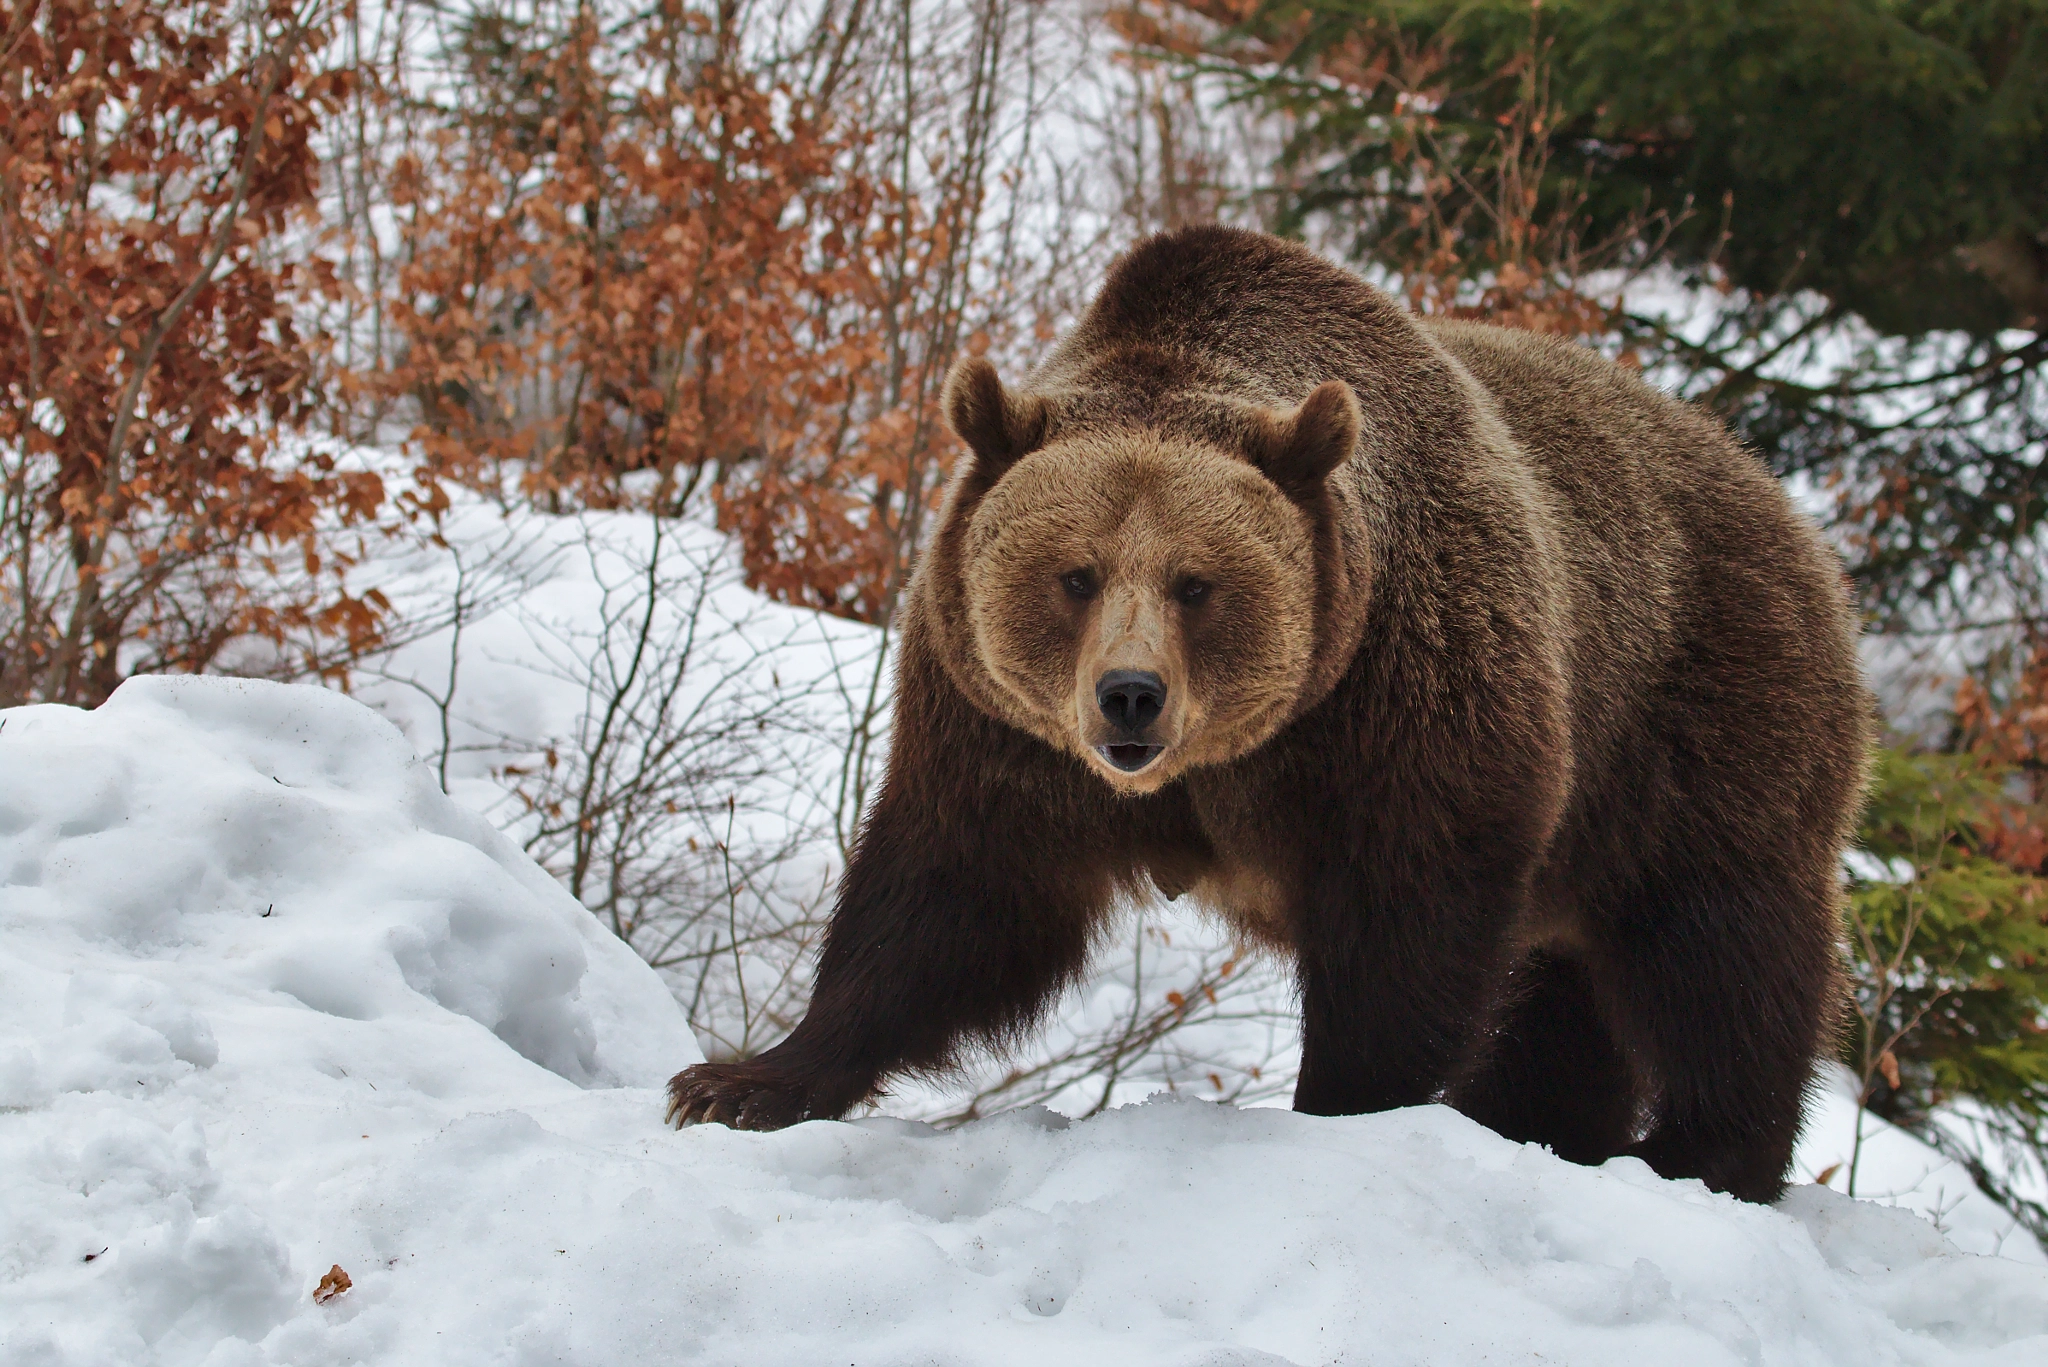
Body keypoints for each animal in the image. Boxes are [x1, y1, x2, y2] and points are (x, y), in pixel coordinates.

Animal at [671, 222, 1875, 1196]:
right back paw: (1543, 1130)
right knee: (1571, 996)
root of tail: (1777, 499)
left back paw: (1701, 1153)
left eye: (1197, 582)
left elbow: (1406, 923)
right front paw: (742, 1079)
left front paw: (1343, 1104)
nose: (1130, 696)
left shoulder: (1402, 698)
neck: (1222, 761)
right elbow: (950, 897)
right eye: (1075, 573)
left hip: (1693, 721)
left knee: (1720, 953)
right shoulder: (1005, 727)